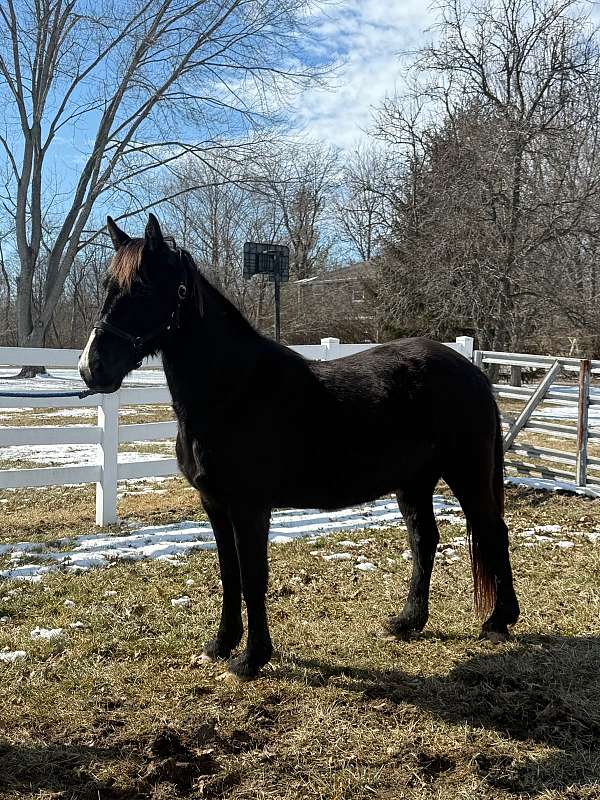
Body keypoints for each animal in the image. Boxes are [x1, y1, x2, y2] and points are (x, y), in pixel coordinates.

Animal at [79, 216, 516, 680]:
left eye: (143, 288)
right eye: (107, 286)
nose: (92, 368)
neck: (235, 391)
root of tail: (471, 370)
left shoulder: (250, 507)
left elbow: (253, 577)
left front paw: (251, 659)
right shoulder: (215, 504)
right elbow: (229, 574)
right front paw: (220, 644)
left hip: (466, 474)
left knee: (492, 531)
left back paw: (498, 621)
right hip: (414, 483)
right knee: (424, 539)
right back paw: (407, 622)